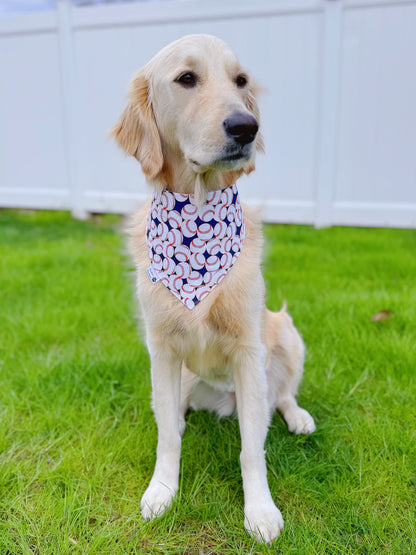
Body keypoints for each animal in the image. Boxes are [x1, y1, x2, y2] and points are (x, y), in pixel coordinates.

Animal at [111, 33, 316, 544]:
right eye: (187, 78)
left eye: (240, 81)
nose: (247, 127)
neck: (198, 213)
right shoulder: (162, 351)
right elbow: (166, 435)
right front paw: (162, 491)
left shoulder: (247, 350)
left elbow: (251, 449)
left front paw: (260, 512)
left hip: (286, 334)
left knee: (281, 397)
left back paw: (298, 416)